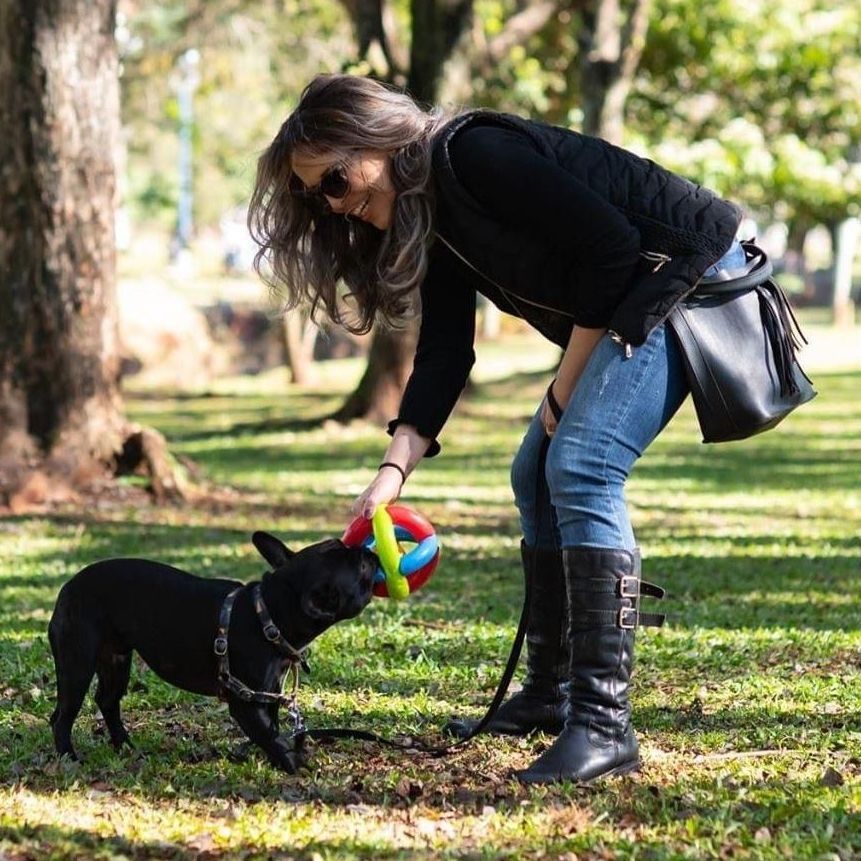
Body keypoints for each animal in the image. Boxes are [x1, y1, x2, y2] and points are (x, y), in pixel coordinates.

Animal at [47, 532, 376, 772]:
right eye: (360, 571)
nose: (368, 553)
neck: (268, 613)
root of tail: (67, 588)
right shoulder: (245, 703)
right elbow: (271, 736)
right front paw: (294, 765)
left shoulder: (267, 694)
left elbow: (273, 729)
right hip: (78, 663)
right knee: (63, 716)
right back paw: (69, 758)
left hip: (116, 661)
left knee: (107, 700)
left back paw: (126, 746)